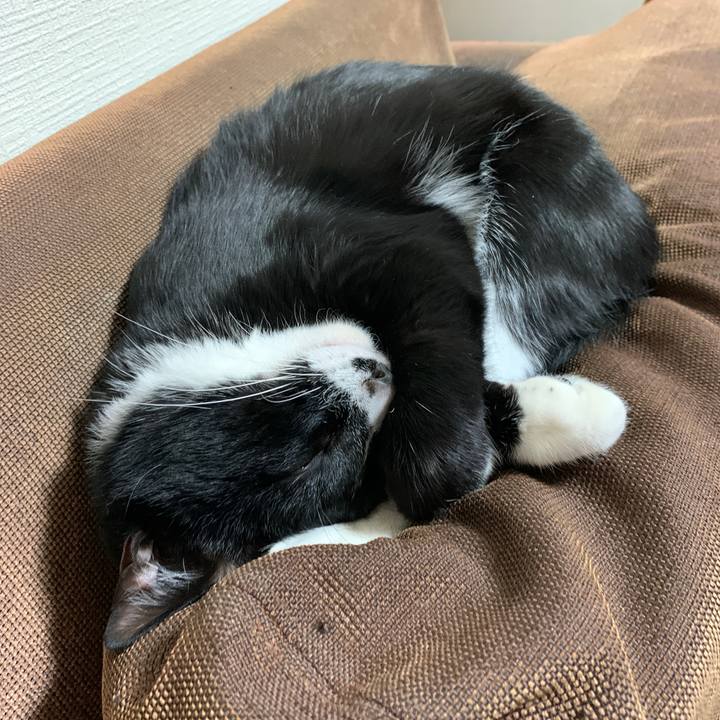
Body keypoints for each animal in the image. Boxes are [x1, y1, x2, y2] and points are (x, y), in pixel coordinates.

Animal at [86, 61, 657, 648]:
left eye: (311, 448)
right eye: (340, 459)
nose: (378, 373)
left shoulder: (340, 241)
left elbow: (432, 295)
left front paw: (460, 460)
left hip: (538, 182)